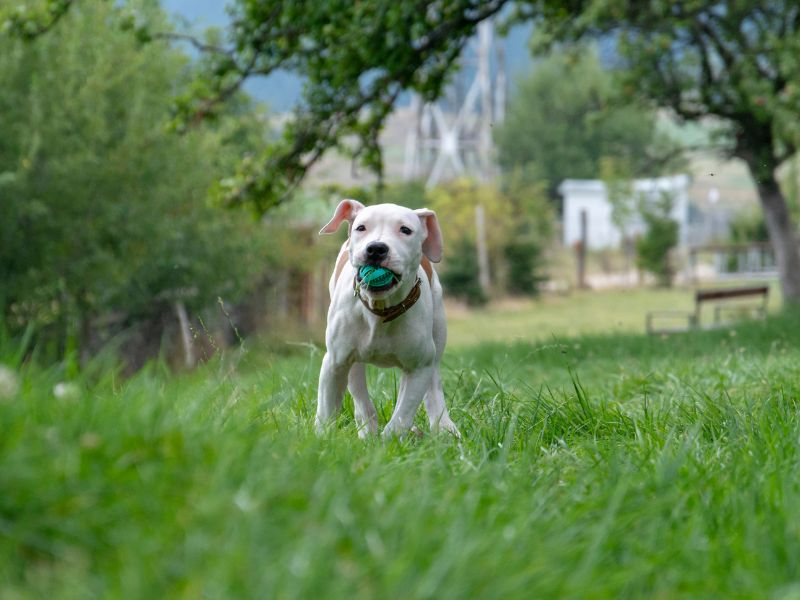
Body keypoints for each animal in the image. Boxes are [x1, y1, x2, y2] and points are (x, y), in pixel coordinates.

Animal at [316, 199, 460, 438]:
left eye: (405, 230)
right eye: (361, 228)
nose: (376, 248)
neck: (381, 310)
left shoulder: (419, 367)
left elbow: (402, 415)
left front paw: (388, 440)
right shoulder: (335, 362)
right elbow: (328, 410)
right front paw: (322, 439)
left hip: (436, 338)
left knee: (433, 385)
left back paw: (445, 427)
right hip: (351, 360)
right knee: (358, 391)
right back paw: (366, 428)